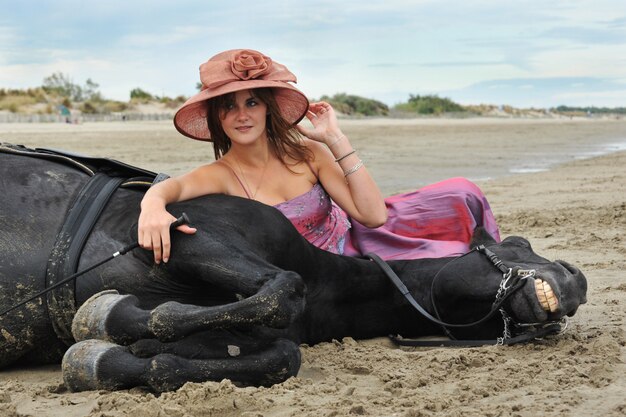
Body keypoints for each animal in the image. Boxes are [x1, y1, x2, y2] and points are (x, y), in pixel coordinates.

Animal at [0, 142, 584, 390]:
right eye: (515, 243)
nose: (575, 277)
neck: (330, 288)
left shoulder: (256, 333)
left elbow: (278, 355)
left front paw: (121, 354)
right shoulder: (186, 231)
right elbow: (282, 288)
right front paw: (108, 321)